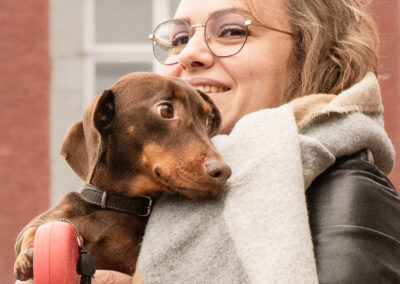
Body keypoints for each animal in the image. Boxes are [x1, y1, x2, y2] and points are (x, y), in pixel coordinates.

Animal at [14, 72, 231, 280]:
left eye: (208, 120)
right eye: (166, 110)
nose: (224, 172)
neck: (118, 204)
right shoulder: (52, 218)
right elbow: (40, 227)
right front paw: (30, 254)